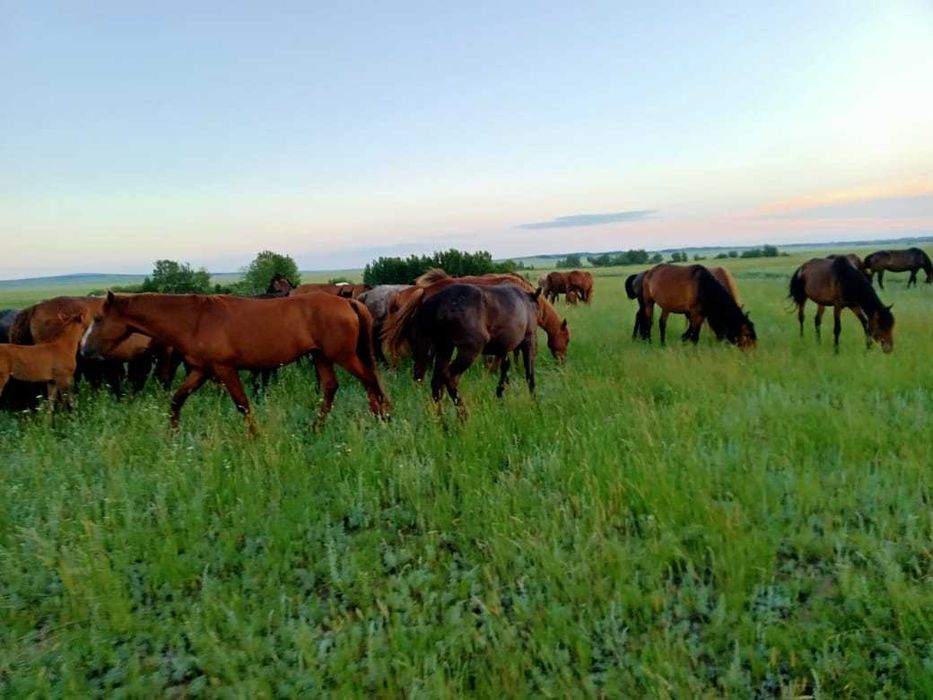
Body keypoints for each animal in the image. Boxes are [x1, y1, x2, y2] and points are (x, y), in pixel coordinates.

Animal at [81, 292, 389, 431]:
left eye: (98, 318)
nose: (84, 351)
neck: (195, 320)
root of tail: (347, 301)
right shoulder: (201, 371)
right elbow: (176, 400)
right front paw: (172, 435)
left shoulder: (225, 369)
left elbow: (242, 405)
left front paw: (255, 437)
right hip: (321, 356)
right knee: (332, 387)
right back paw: (318, 427)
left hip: (342, 355)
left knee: (369, 379)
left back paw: (383, 417)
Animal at [408, 283, 540, 416]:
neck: (527, 301)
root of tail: (436, 303)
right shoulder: (528, 341)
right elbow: (529, 373)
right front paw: (534, 403)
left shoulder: (503, 348)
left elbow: (505, 369)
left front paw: (500, 395)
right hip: (469, 350)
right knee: (450, 377)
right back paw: (463, 415)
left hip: (444, 349)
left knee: (437, 382)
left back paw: (441, 419)